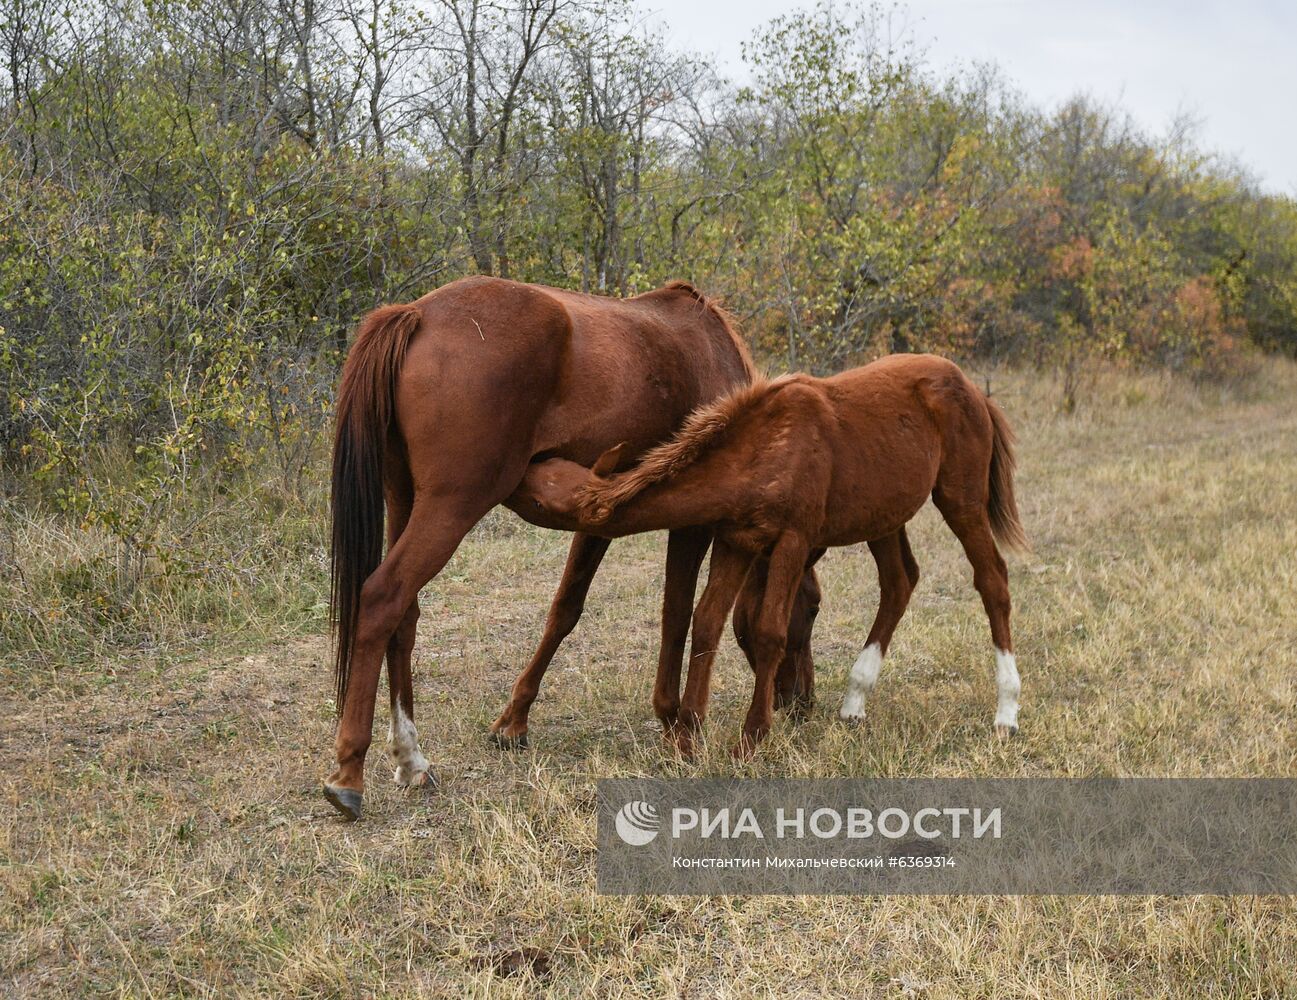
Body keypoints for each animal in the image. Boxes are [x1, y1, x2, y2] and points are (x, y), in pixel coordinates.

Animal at [516, 352, 1022, 757]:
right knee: (899, 582)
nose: (523, 466)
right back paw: (854, 701)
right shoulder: (737, 542)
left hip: (960, 499)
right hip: (884, 515)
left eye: (539, 497)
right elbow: (707, 622)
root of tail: (971, 388)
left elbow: (769, 631)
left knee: (993, 579)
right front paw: (686, 738)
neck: (761, 448)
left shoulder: (792, 540)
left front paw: (752, 738)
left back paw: (1007, 711)